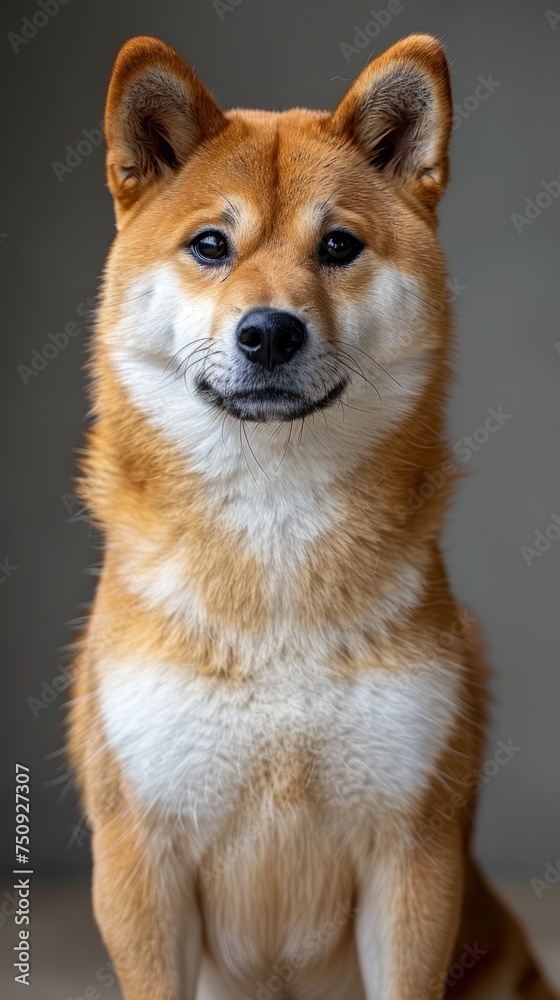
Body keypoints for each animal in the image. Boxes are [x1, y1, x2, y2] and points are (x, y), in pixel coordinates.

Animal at [68, 33, 556, 1000]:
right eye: (210, 245)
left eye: (339, 245)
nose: (270, 331)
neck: (275, 521)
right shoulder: (140, 858)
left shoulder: (414, 853)